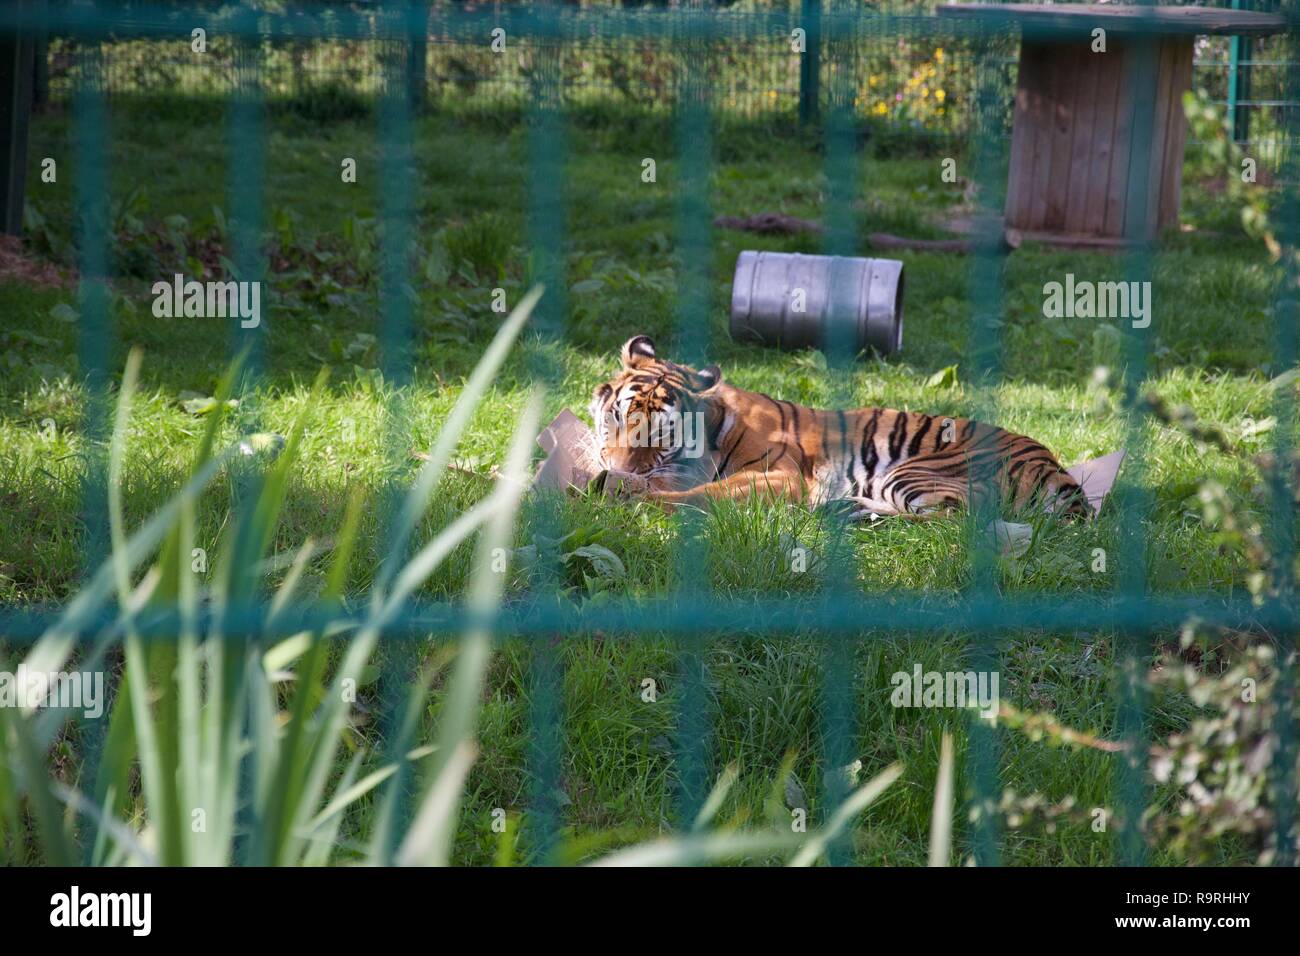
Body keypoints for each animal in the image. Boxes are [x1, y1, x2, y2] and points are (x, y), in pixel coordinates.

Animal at [590, 332, 1086, 520]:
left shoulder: (783, 476)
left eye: (659, 435)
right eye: (616, 417)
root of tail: (1057, 468)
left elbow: (701, 495)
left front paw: (628, 493)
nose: (619, 468)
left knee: (955, 517)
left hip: (913, 473)